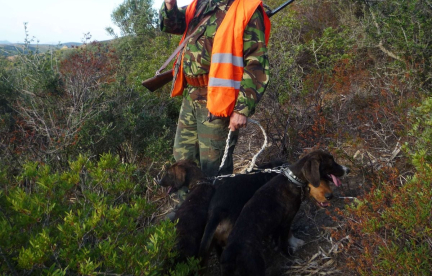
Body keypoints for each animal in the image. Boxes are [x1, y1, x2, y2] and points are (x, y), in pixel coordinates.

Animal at [221, 151, 350, 276]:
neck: (293, 181)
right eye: (331, 163)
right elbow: (284, 240)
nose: (347, 170)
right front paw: (290, 252)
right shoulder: (286, 221)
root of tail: (230, 255)